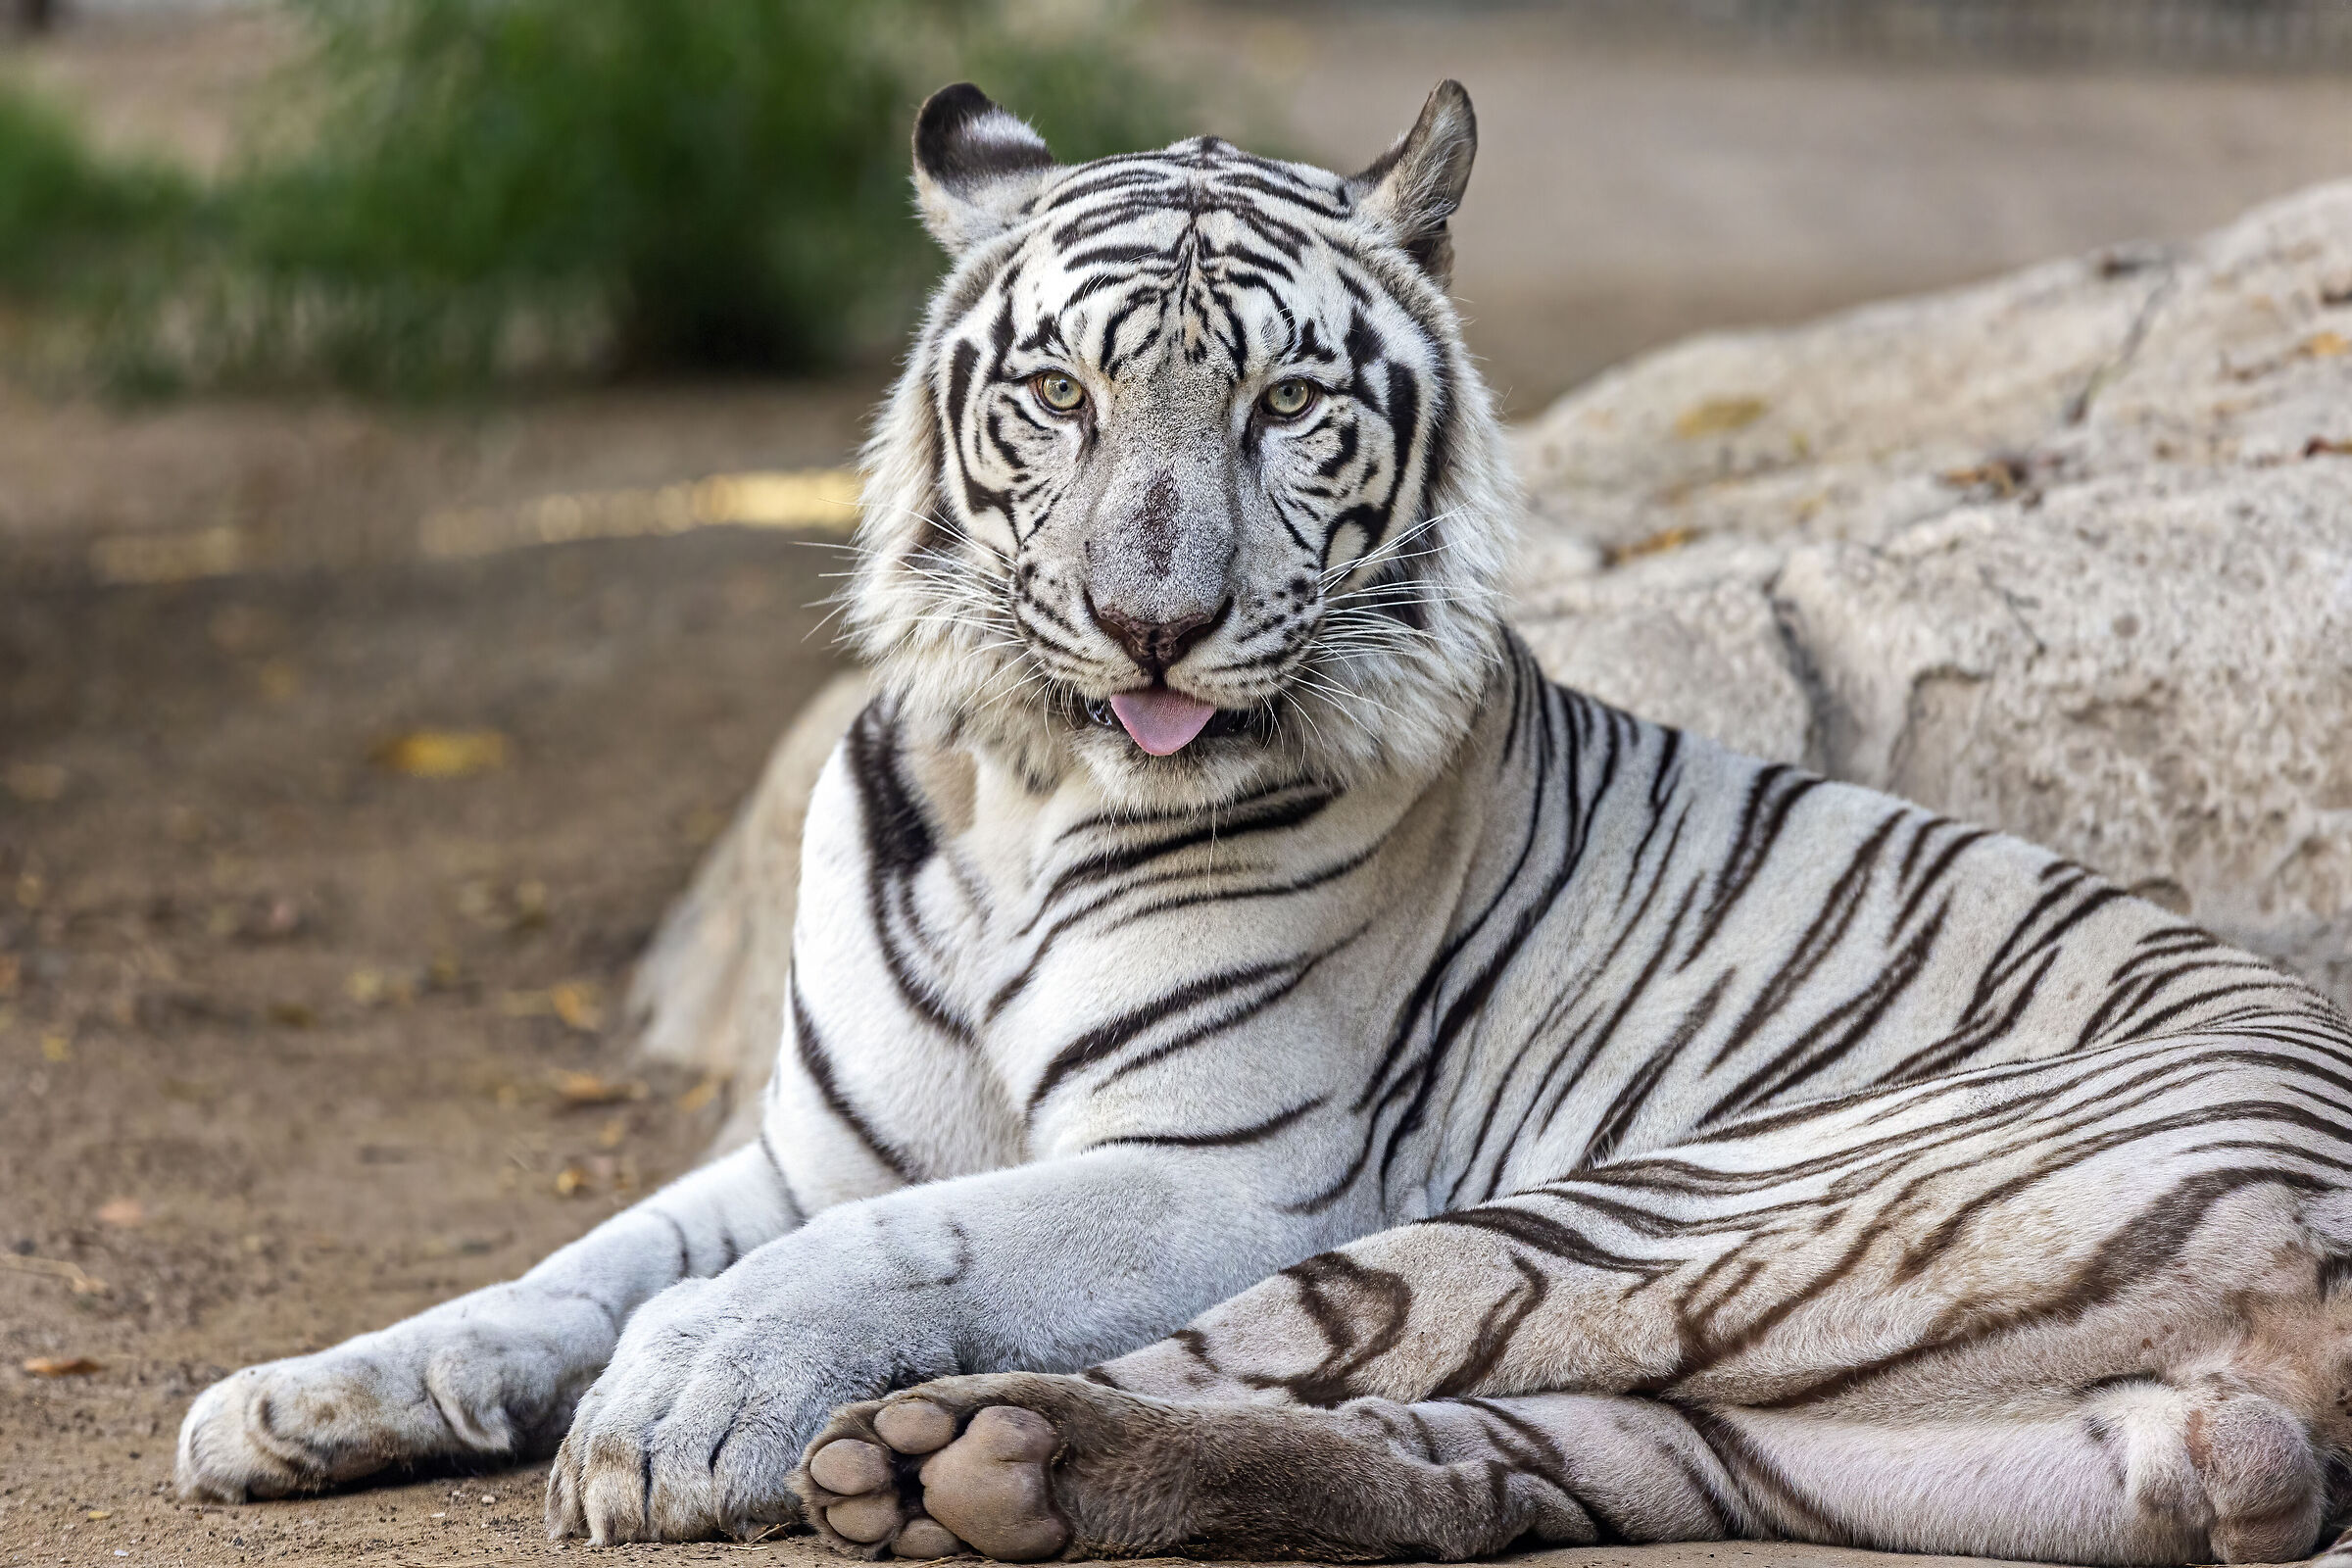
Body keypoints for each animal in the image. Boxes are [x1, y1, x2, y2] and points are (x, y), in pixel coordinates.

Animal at [173, 80, 2352, 1566]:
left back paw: (924, 1452)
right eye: (1057, 393)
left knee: (1258, 1354)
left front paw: (682, 1404)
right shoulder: (810, 1141)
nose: (1154, 622)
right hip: (1823, 1445)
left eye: (1288, 407)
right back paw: (998, 1473)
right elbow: (566, 1265)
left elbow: (887, 1247)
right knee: (1464, 1465)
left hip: (1630, 1218)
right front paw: (297, 1397)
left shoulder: (1218, 1166)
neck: (1016, 785)